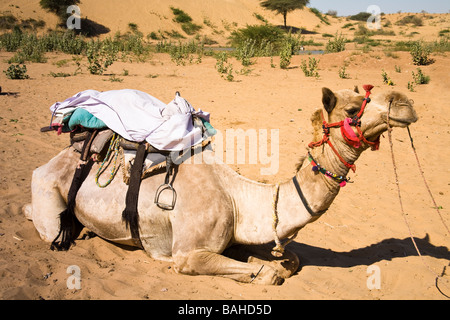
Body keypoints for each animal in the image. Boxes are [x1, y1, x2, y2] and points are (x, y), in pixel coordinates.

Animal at [22, 85, 418, 284]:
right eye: (352, 110)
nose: (405, 102)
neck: (239, 197)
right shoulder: (187, 254)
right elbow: (269, 274)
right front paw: (268, 269)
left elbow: (288, 259)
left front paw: (274, 259)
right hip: (48, 189)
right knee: (47, 222)